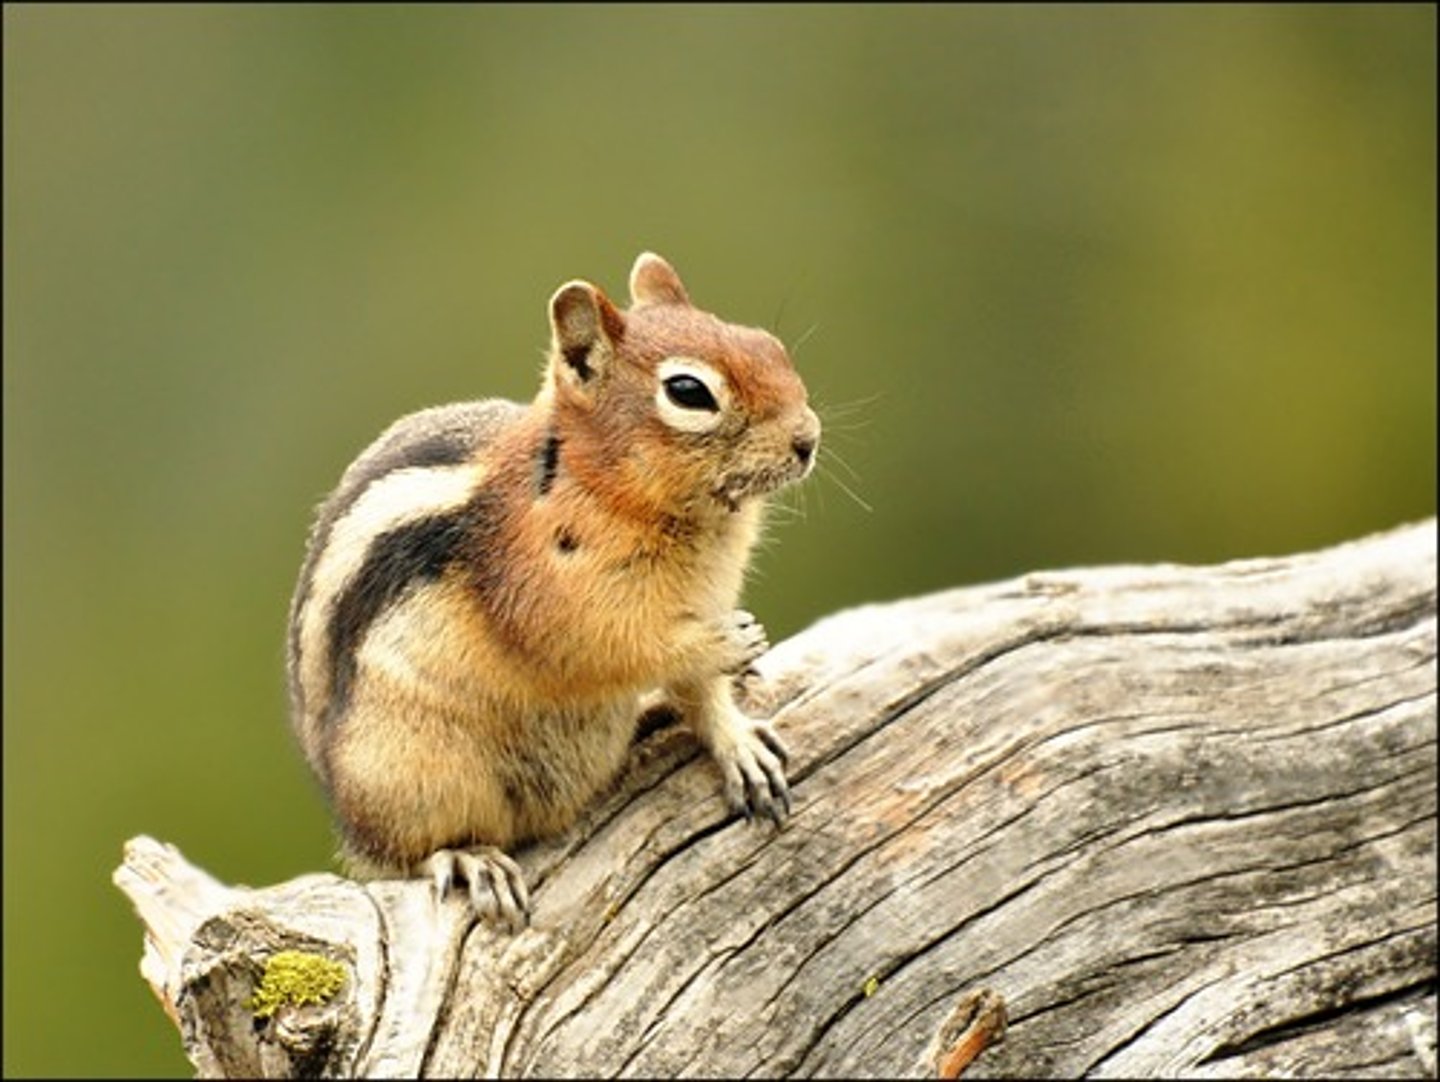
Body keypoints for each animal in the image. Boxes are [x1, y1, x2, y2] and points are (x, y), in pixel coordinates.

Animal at [286, 252, 820, 931]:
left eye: (769, 344)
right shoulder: (544, 590)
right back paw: (470, 859)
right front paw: (731, 641)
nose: (807, 439)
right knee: (412, 854)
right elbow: (607, 645)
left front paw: (738, 741)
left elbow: (703, 695)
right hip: (413, 770)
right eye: (688, 392)